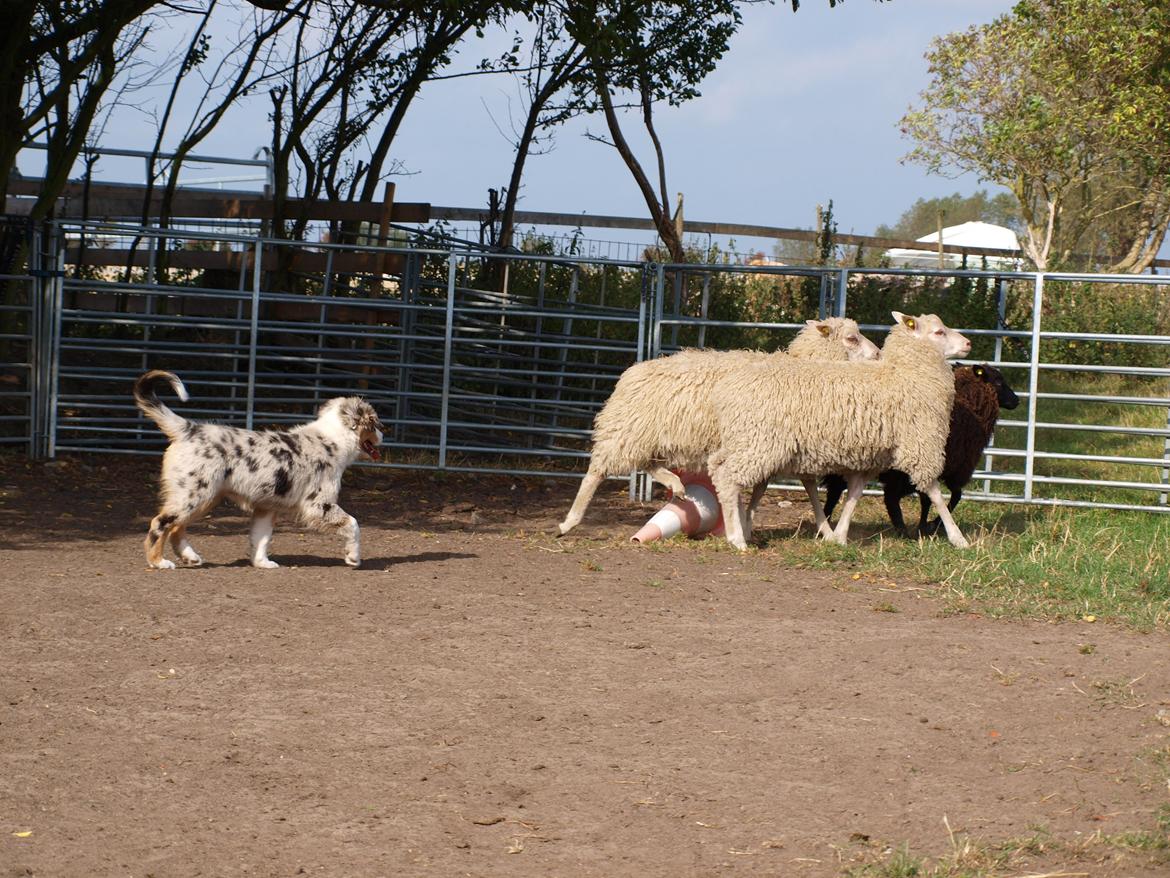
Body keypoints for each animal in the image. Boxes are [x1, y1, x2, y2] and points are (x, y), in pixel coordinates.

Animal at [133, 369, 383, 571]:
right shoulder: (319, 504)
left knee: (176, 528)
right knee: (160, 523)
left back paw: (191, 557)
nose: (383, 434)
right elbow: (353, 523)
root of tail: (189, 429)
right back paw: (158, 562)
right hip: (194, 495)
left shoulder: (267, 507)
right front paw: (353, 557)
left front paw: (262, 563)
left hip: (205, 497)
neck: (332, 439)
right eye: (375, 423)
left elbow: (260, 538)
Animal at [556, 318, 879, 536]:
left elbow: (772, 487)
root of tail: (630, 374)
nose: (877, 354)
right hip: (628, 429)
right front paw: (827, 531)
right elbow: (806, 487)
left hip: (649, 434)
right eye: (852, 338)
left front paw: (747, 523)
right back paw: (569, 521)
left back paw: (676, 485)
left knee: (648, 463)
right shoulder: (776, 439)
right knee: (597, 470)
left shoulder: (778, 442)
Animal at [706, 313, 973, 550]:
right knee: (728, 478)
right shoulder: (919, 444)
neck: (906, 374)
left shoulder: (869, 456)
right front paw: (958, 538)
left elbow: (854, 494)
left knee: (717, 467)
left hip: (744, 440)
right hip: (759, 443)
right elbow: (935, 493)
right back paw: (737, 538)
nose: (968, 343)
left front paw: (839, 536)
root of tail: (724, 391)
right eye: (939, 332)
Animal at [823, 365, 1015, 536]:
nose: (1017, 400)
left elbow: (930, 499)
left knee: (837, 491)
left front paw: (927, 525)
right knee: (886, 497)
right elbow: (951, 496)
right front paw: (931, 524)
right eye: (998, 381)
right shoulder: (950, 468)